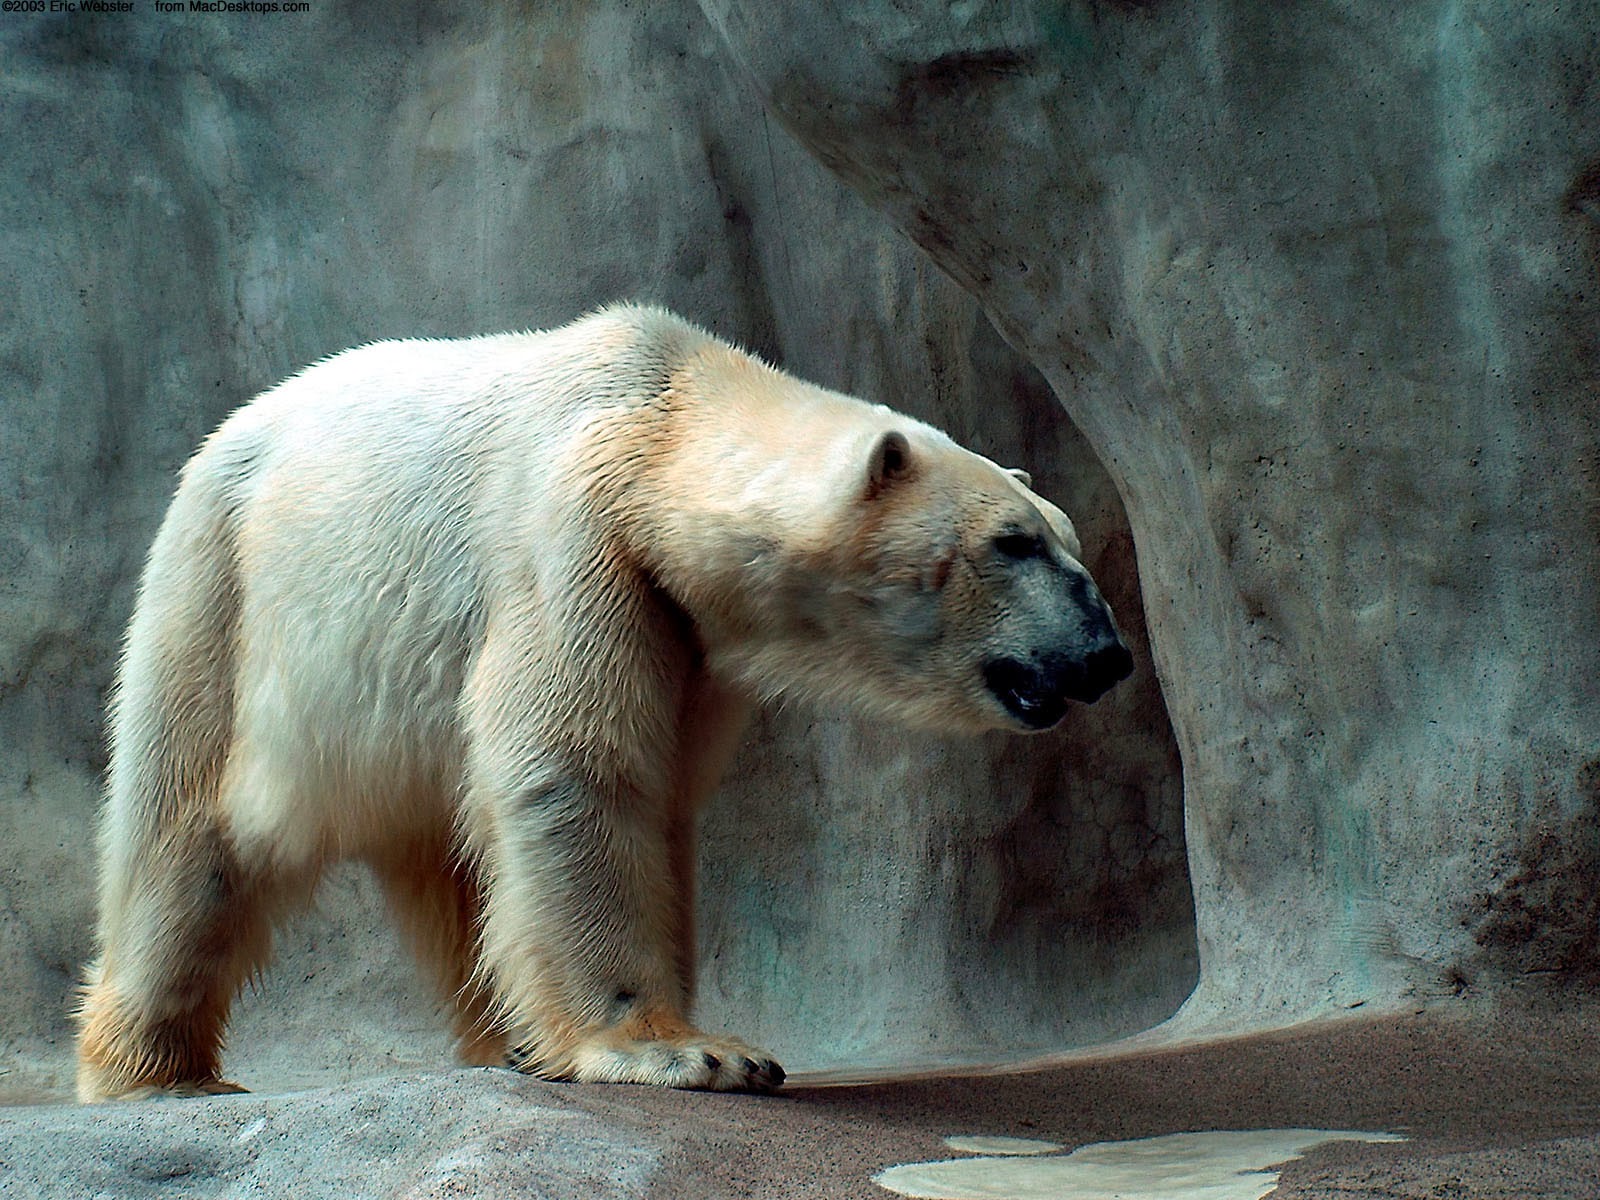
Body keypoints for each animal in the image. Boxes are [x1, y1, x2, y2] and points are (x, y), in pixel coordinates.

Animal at [75, 304, 1132, 1101]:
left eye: (1064, 537)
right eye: (1011, 543)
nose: (1108, 655)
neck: (655, 416)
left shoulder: (690, 635)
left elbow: (655, 803)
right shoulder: (575, 543)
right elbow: (579, 773)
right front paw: (690, 1051)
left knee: (455, 858)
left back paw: (507, 1039)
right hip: (224, 588)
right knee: (187, 833)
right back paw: (156, 1071)